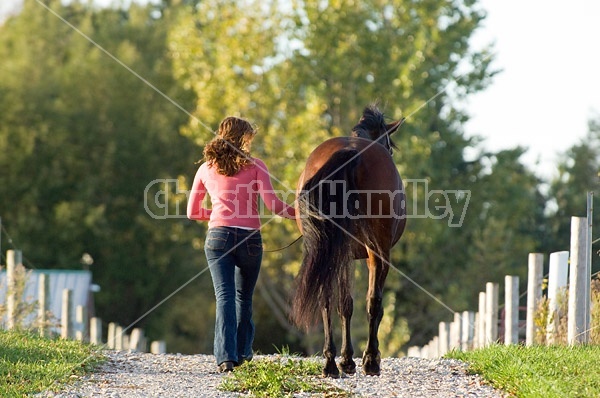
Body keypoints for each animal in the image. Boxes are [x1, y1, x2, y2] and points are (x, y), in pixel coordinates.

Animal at [290, 103, 408, 376]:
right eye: (389, 145)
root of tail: (350, 152)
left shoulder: (344, 253)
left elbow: (344, 304)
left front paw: (345, 359)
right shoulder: (371, 254)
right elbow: (369, 302)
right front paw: (362, 358)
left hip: (326, 248)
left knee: (325, 297)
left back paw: (330, 363)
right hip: (377, 251)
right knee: (373, 301)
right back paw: (371, 360)